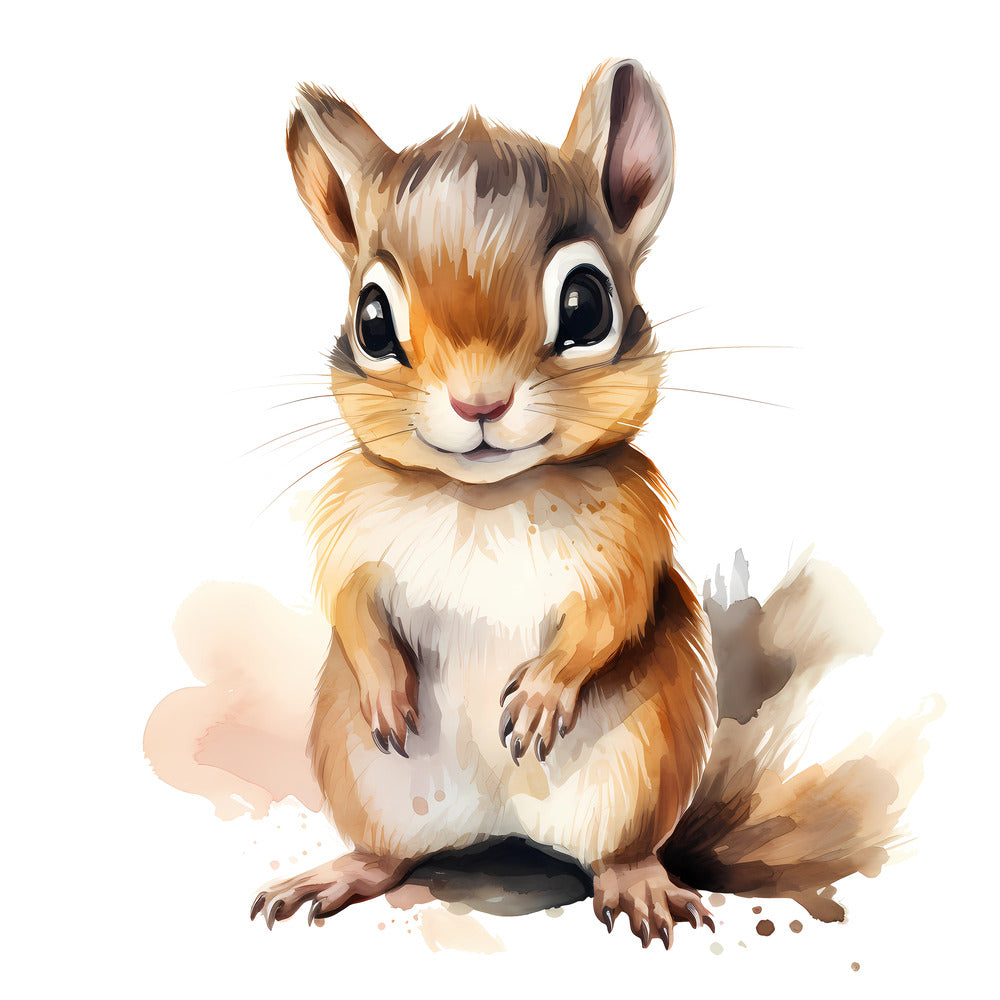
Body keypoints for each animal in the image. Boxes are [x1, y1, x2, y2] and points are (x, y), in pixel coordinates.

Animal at [250, 58, 720, 950]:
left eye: (587, 305)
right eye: (371, 320)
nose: (479, 403)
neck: (485, 499)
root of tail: (500, 831)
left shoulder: (632, 548)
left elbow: (609, 618)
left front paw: (537, 699)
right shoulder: (348, 539)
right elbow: (349, 606)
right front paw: (386, 691)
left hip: (641, 774)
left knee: (619, 855)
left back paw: (640, 887)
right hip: (364, 783)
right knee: (387, 857)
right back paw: (336, 875)